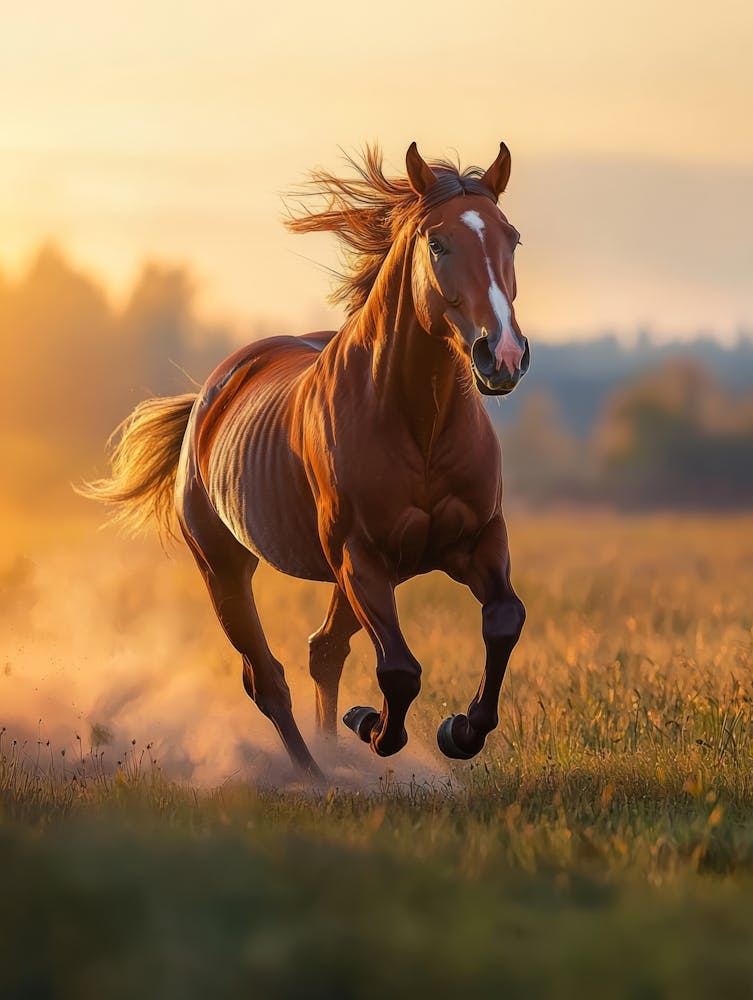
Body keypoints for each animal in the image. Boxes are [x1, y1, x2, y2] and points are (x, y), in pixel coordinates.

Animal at [81, 142, 530, 783]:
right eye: (438, 244)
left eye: (511, 238)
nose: (504, 356)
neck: (418, 424)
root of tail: (208, 398)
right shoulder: (360, 557)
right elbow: (399, 670)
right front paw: (371, 727)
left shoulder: (477, 541)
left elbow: (503, 621)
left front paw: (459, 731)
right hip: (226, 568)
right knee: (266, 677)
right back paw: (315, 774)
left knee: (324, 650)